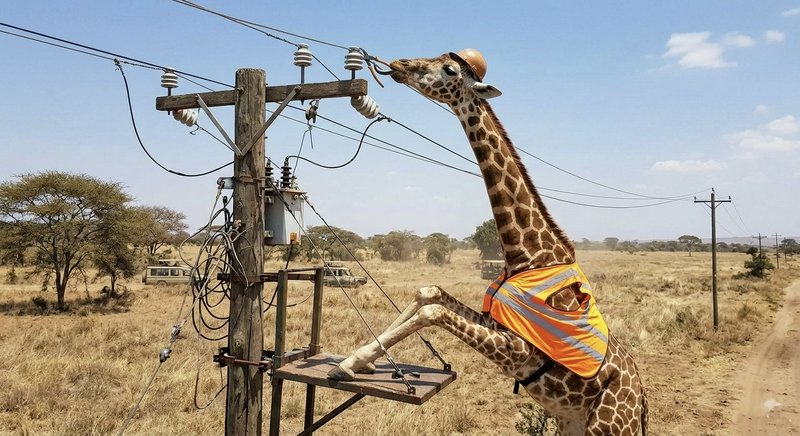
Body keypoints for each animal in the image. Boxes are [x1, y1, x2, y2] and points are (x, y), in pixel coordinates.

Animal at [328, 50, 648, 435]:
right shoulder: (494, 321)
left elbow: (433, 311)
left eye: (449, 69)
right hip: (572, 422)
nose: (400, 64)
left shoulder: (518, 350)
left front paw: (350, 363)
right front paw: (358, 361)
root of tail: (641, 403)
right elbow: (429, 293)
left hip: (608, 427)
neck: (527, 255)